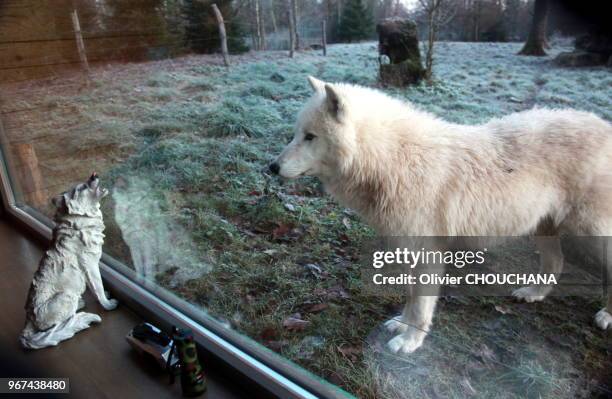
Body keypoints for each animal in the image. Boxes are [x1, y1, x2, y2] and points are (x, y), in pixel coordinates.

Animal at [20, 173, 119, 348]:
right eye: (82, 188)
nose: (94, 174)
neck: (80, 222)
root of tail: (28, 322)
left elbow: (96, 289)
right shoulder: (91, 265)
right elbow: (98, 288)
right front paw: (107, 304)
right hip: (66, 296)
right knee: (58, 325)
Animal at [272, 77, 612, 356]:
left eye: (310, 136)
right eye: (295, 134)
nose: (271, 167)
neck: (392, 159)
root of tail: (605, 124)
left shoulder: (428, 254)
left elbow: (422, 306)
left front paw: (410, 342)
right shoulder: (408, 250)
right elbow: (411, 299)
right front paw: (401, 325)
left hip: (588, 236)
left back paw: (606, 314)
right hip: (545, 228)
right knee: (555, 262)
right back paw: (534, 294)